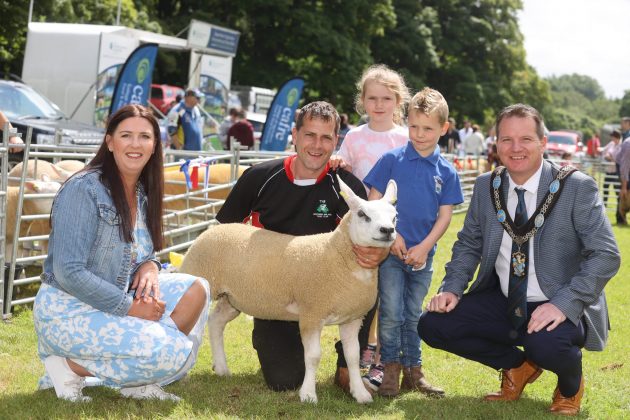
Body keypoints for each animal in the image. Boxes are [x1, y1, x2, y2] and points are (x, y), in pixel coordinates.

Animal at [181, 175, 400, 404]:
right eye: (362, 214)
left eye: (394, 217)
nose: (387, 231)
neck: (336, 254)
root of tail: (211, 229)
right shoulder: (312, 314)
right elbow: (313, 356)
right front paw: (308, 395)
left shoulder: (352, 318)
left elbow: (352, 356)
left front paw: (359, 393)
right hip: (198, 279)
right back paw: (183, 375)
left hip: (232, 298)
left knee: (216, 322)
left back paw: (222, 368)